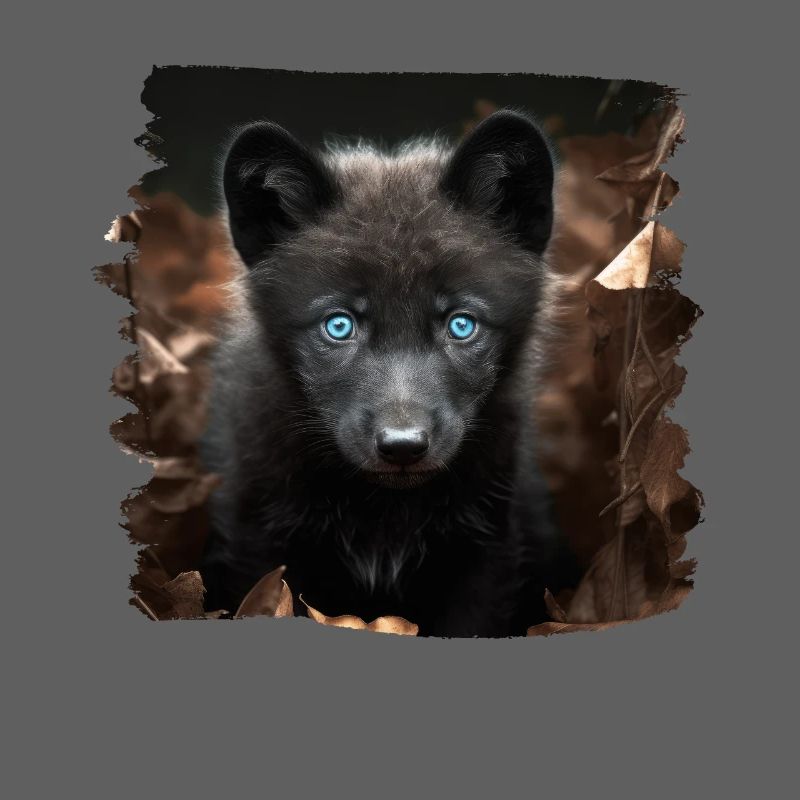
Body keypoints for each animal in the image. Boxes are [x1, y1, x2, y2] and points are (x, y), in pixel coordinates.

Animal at [199, 109, 578, 636]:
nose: (403, 446)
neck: (385, 517)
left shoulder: (488, 551)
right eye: (338, 325)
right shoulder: (256, 540)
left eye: (461, 324)